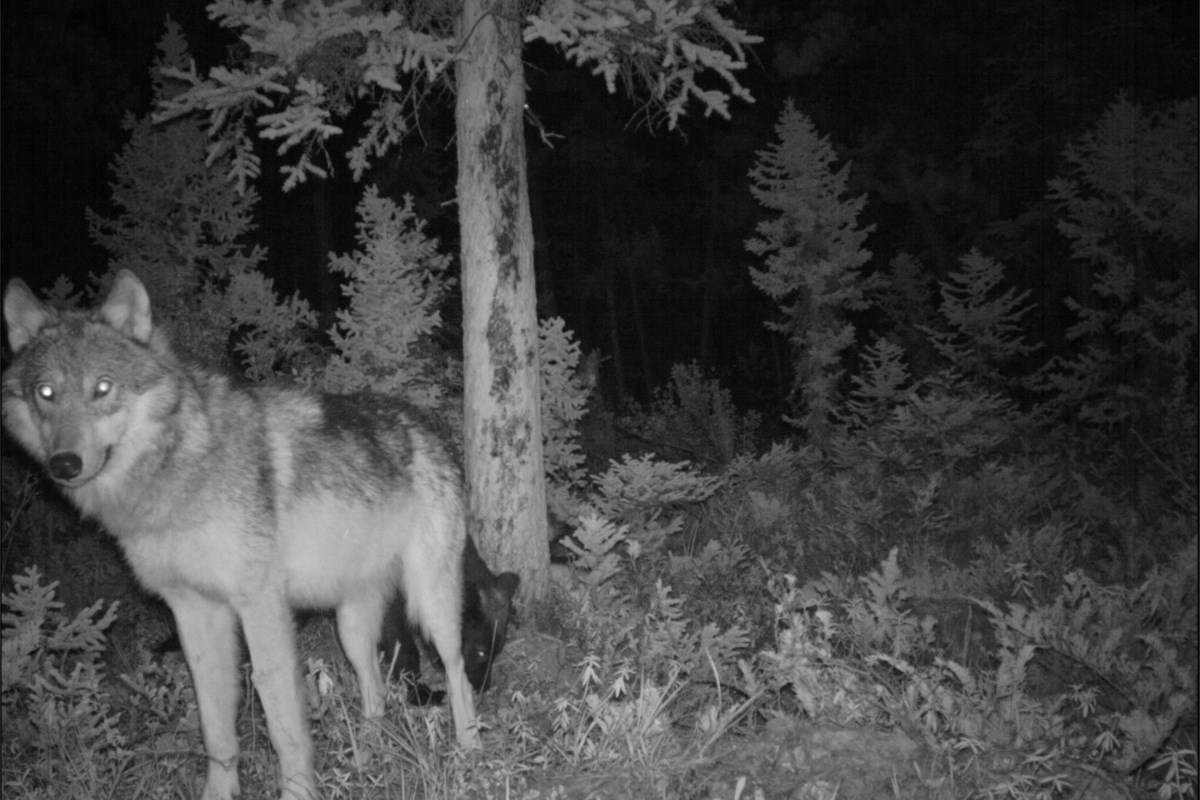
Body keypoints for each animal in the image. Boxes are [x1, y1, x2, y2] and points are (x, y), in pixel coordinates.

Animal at [2, 270, 481, 800]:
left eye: (102, 388)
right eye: (46, 393)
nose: (64, 464)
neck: (179, 470)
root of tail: (428, 425)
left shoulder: (260, 605)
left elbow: (282, 721)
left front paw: (298, 791)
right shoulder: (193, 612)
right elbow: (215, 724)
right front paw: (220, 790)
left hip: (431, 607)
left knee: (457, 673)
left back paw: (469, 755)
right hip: (351, 628)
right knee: (374, 691)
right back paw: (366, 761)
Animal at [381, 535, 519, 705]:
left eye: (497, 653)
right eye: (480, 652)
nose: (482, 688)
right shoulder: (390, 611)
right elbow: (406, 653)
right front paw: (419, 694)